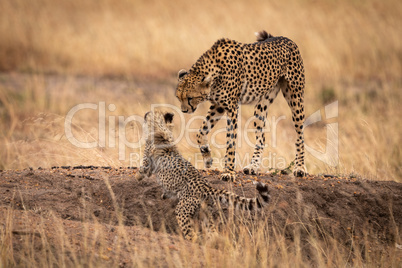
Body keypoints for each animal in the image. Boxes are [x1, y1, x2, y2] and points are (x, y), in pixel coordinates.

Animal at [177, 30, 308, 181]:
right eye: (178, 98)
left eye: (190, 98)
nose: (184, 110)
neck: (215, 70)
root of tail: (284, 38)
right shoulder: (218, 106)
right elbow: (200, 132)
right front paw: (207, 156)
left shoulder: (232, 107)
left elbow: (230, 142)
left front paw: (228, 172)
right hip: (261, 106)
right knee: (261, 138)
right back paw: (253, 167)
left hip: (295, 98)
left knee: (300, 135)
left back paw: (300, 168)